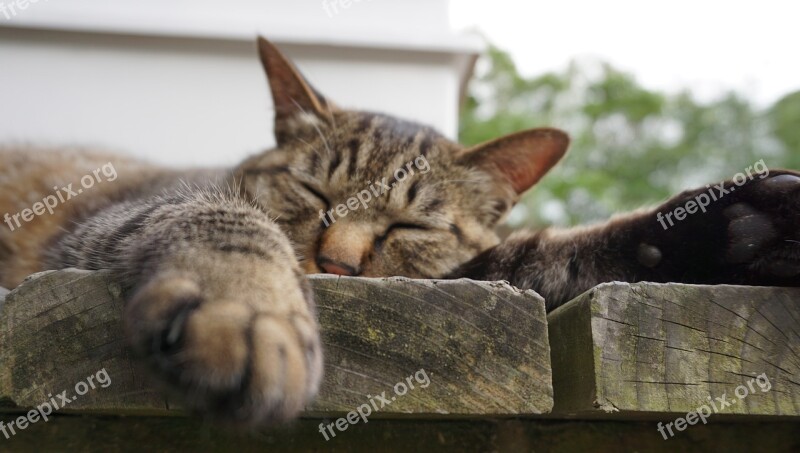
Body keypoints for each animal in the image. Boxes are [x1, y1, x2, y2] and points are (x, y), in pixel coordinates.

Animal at [1, 37, 800, 426]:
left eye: (411, 223)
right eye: (314, 192)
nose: (337, 263)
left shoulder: (480, 272)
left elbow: (564, 252)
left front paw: (736, 226)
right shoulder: (121, 215)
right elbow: (231, 217)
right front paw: (251, 307)